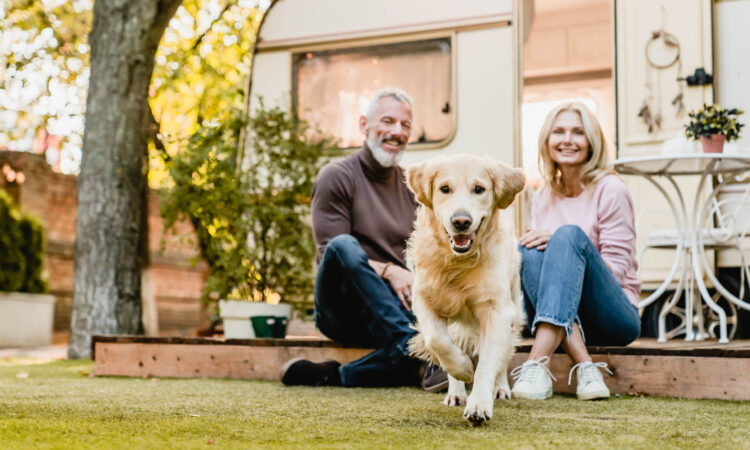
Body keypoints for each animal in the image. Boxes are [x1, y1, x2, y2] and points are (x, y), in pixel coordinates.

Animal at [408, 156, 524, 426]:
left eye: (479, 189)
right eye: (444, 188)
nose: (461, 221)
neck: (458, 261)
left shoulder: (496, 310)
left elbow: (489, 361)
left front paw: (479, 404)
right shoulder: (424, 297)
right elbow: (437, 340)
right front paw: (462, 369)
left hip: (514, 309)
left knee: (504, 354)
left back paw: (500, 388)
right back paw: (456, 392)